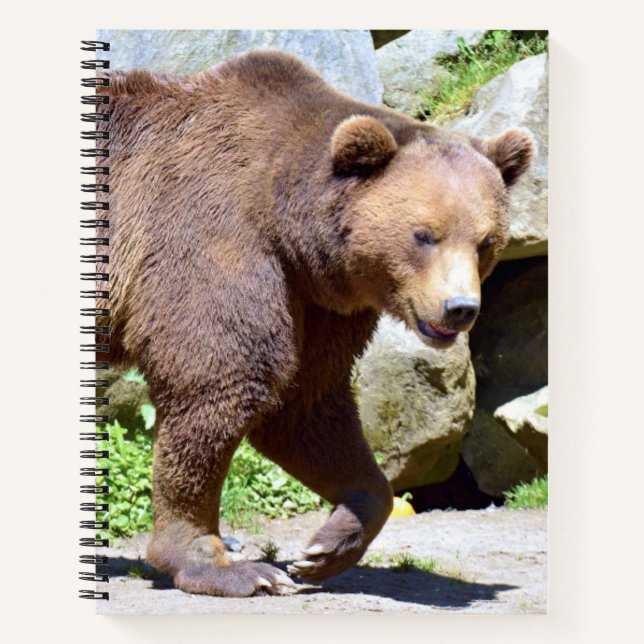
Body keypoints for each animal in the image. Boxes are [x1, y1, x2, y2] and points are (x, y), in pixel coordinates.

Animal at [95, 50, 532, 597]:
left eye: (485, 241)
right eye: (424, 234)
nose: (460, 308)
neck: (288, 224)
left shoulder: (320, 305)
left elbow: (307, 405)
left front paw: (326, 548)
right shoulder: (210, 241)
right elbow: (220, 384)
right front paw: (228, 567)